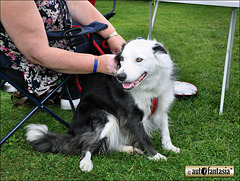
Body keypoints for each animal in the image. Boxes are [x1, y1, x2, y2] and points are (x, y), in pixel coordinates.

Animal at [26, 39, 180, 172]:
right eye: (122, 59)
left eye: (139, 59)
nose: (120, 77)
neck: (149, 85)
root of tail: (71, 132)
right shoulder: (131, 115)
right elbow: (144, 136)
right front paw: (155, 155)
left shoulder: (162, 105)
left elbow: (165, 129)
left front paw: (169, 147)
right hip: (106, 118)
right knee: (87, 145)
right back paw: (86, 163)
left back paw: (130, 149)